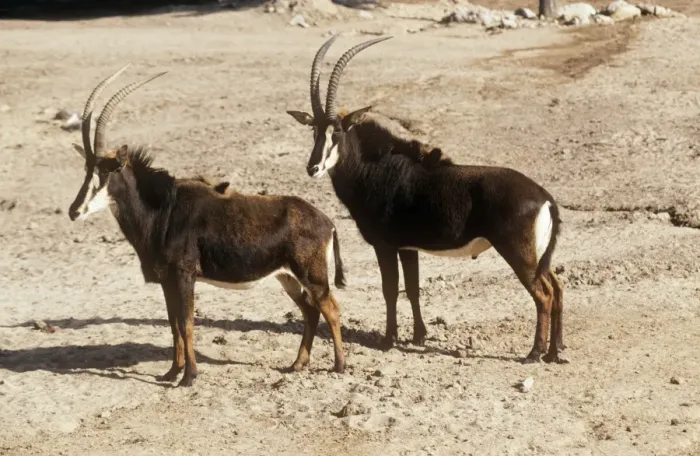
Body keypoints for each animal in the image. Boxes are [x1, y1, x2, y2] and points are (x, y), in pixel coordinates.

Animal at [68, 65, 347, 387]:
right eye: (87, 170)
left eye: (106, 172)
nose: (74, 211)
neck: (163, 209)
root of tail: (327, 222)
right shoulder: (167, 281)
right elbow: (173, 324)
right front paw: (171, 372)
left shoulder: (184, 275)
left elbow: (186, 323)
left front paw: (189, 376)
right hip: (287, 277)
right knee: (310, 311)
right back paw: (297, 363)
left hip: (312, 275)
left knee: (331, 309)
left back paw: (339, 365)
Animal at [286, 36, 566, 364]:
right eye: (314, 131)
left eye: (338, 133)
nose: (313, 168)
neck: (376, 168)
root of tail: (545, 198)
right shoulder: (408, 248)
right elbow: (413, 287)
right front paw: (419, 336)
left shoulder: (385, 245)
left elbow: (390, 289)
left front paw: (389, 339)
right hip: (538, 257)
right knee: (557, 289)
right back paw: (555, 350)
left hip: (519, 255)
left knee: (543, 295)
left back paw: (534, 353)